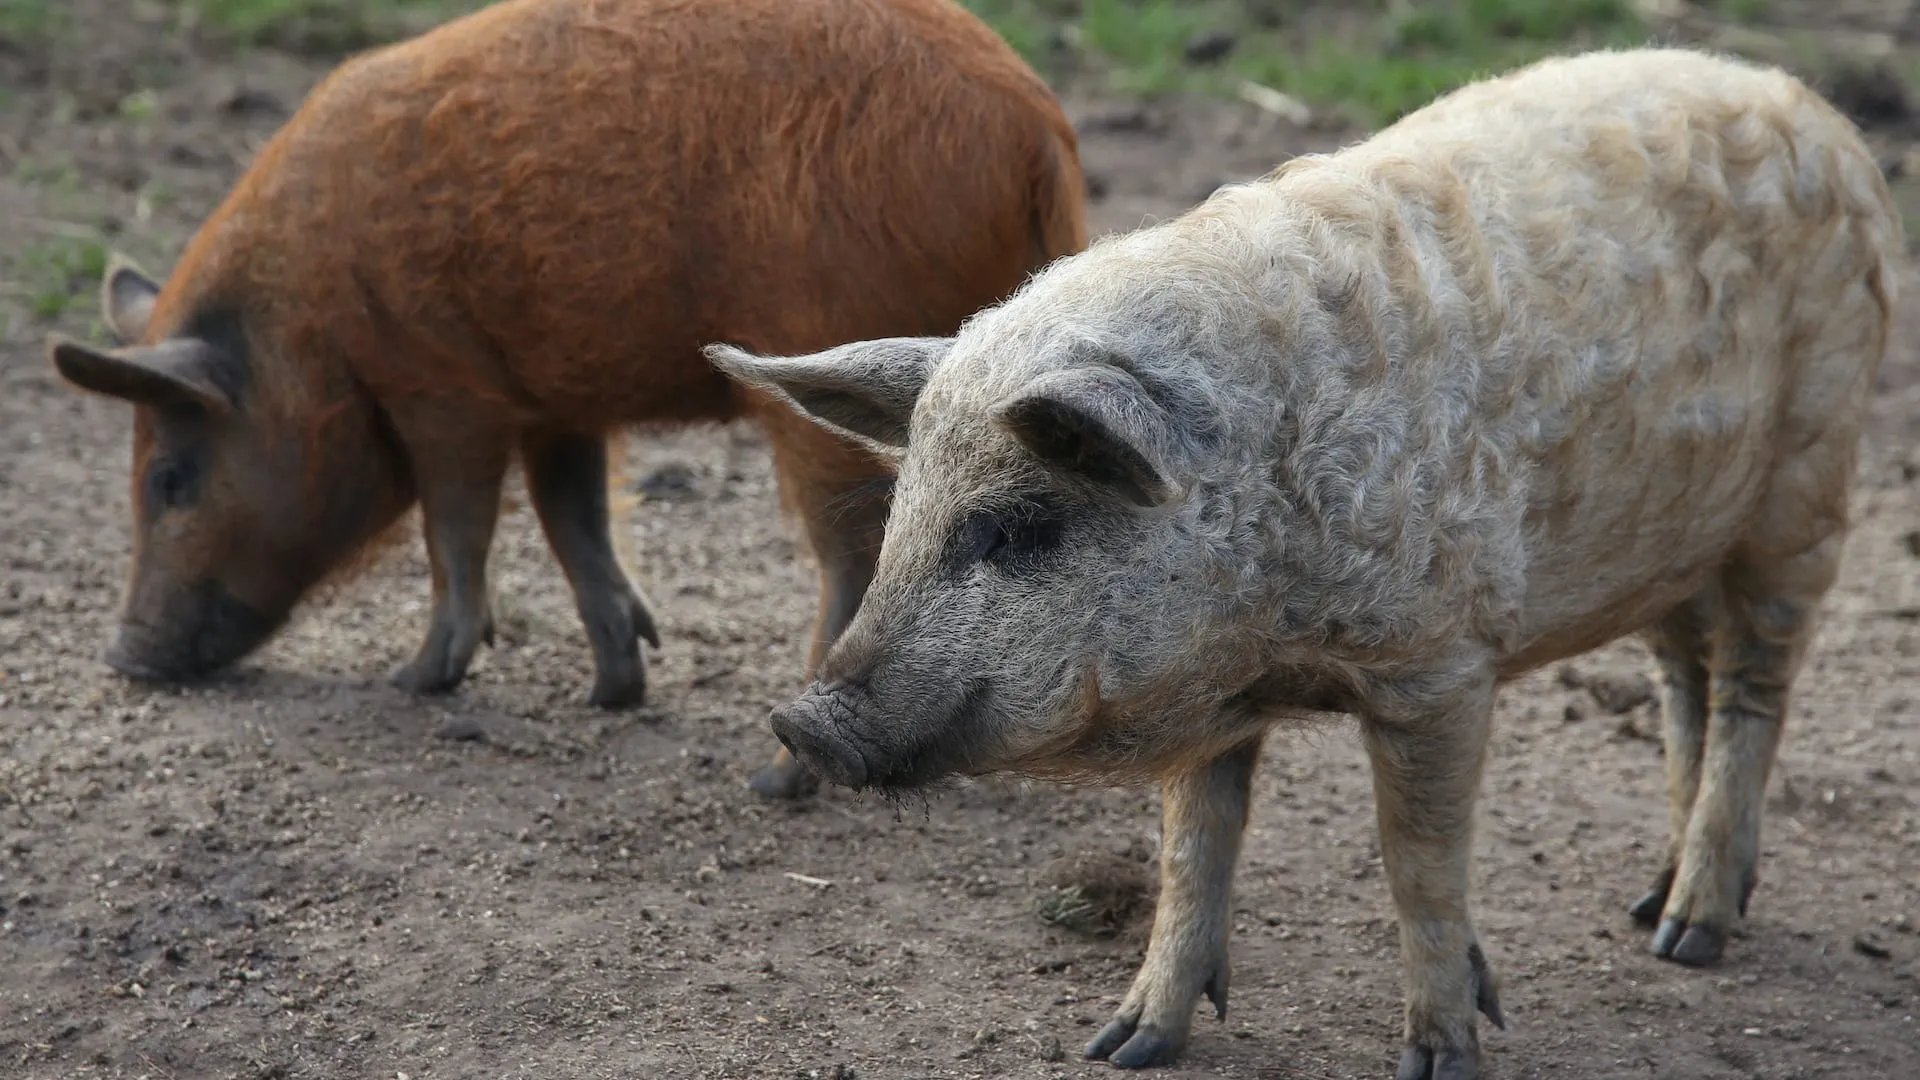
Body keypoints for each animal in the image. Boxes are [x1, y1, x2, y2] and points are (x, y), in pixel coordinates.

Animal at [45, 0, 1090, 795]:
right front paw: (613, 691)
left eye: (170, 478)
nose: (124, 658)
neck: (314, 331)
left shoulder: (442, 388)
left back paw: (774, 778)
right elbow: (572, 519)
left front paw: (414, 680)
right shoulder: (555, 403)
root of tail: (1036, 130)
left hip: (830, 377)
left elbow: (457, 525)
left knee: (854, 553)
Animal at [710, 48, 1904, 1076]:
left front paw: (1442, 1057)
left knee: (1754, 686)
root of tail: (1817, 114)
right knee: (1684, 678)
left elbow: (1417, 857)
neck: (1270, 622)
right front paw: (1125, 1046)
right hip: (1670, 540)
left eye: (1016, 525)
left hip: (1809, 484)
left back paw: (1691, 939)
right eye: (905, 508)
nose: (801, 719)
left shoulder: (1442, 664)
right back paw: (1651, 912)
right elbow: (1193, 849)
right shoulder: (1207, 696)